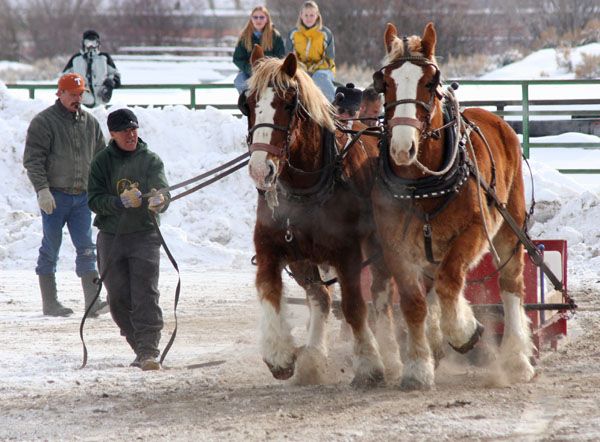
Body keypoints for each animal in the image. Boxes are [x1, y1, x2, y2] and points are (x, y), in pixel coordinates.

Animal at [241, 45, 400, 386]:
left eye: (288, 103)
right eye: (247, 104)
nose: (261, 169)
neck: (306, 187)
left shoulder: (348, 253)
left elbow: (354, 306)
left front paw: (370, 363)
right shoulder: (271, 248)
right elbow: (269, 291)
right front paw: (279, 354)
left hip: (378, 247)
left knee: (380, 295)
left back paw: (392, 355)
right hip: (305, 259)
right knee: (321, 297)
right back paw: (313, 356)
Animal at [372, 23, 536, 390]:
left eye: (429, 83)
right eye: (384, 82)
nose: (402, 148)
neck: (421, 183)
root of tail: (495, 118)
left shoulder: (474, 231)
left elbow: (450, 282)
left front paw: (464, 331)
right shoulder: (393, 244)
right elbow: (414, 302)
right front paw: (419, 366)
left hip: (509, 227)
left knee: (511, 284)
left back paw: (517, 359)